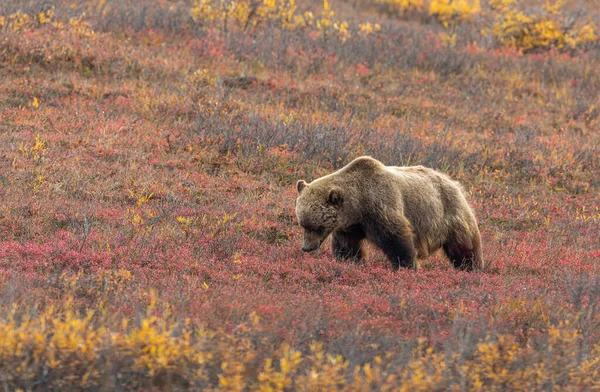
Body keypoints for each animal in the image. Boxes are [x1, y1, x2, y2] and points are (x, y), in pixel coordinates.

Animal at [292, 155, 486, 270]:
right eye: (302, 224)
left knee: (464, 245)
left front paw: (406, 266)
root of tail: (453, 181)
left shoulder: (380, 207)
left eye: (318, 227)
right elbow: (348, 246)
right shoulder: (350, 225)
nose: (307, 247)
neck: (358, 205)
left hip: (450, 212)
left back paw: (471, 267)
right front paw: (350, 261)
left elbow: (397, 239)